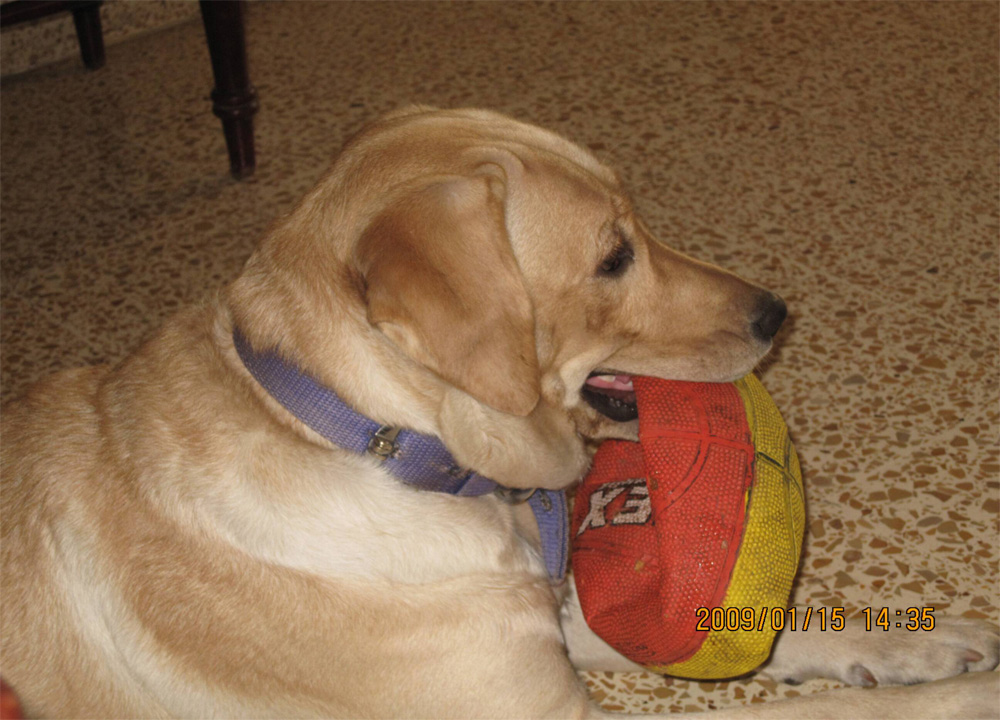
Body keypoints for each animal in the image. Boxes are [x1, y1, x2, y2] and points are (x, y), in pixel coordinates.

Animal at [1, 104, 1000, 716]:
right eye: (612, 258)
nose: (774, 314)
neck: (374, 442)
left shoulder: (537, 621)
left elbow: (760, 631)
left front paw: (918, 644)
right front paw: (955, 697)